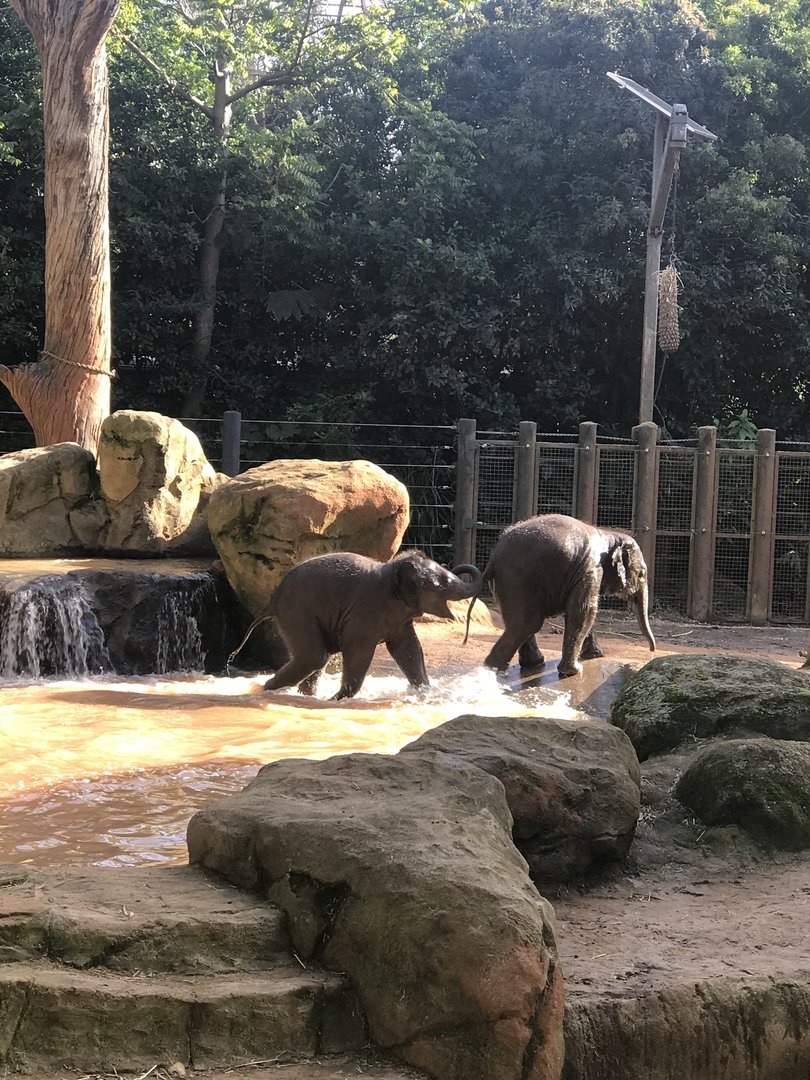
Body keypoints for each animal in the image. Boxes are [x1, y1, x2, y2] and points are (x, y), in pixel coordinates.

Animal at [228, 551, 482, 700]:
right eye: (443, 584)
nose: (460, 567)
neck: (392, 571)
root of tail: (272, 600)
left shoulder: (399, 619)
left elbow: (409, 650)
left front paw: (425, 692)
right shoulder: (365, 613)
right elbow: (359, 652)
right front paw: (338, 700)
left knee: (317, 658)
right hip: (297, 612)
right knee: (315, 657)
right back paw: (264, 690)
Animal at [469, 513, 655, 678]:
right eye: (641, 574)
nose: (652, 650)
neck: (608, 534)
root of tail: (493, 558)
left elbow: (583, 610)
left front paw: (594, 655)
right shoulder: (591, 570)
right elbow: (584, 611)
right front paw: (574, 671)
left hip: (504, 583)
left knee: (521, 623)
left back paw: (533, 664)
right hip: (517, 578)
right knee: (527, 624)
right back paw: (493, 671)